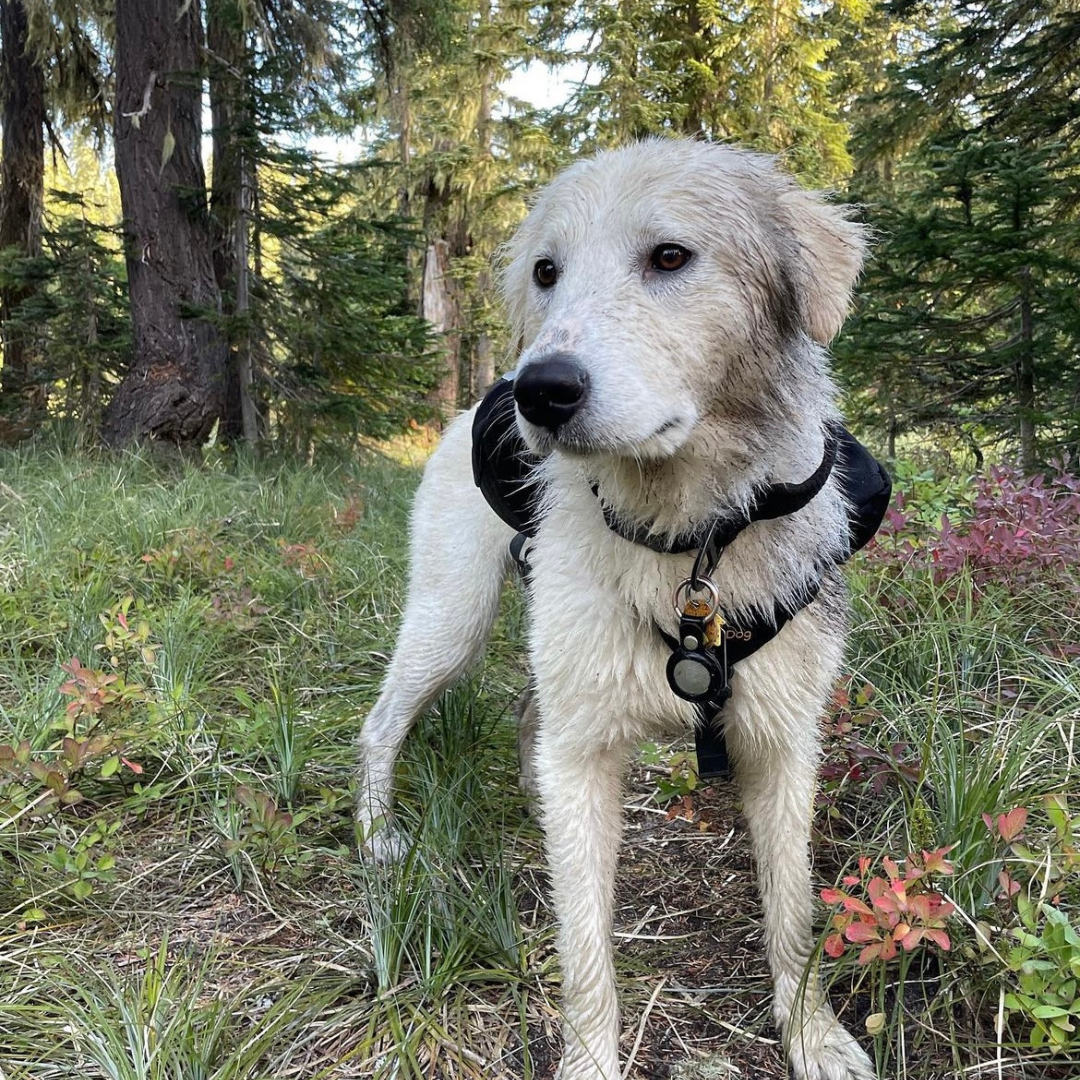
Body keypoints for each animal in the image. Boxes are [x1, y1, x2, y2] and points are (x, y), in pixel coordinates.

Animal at [358, 141, 881, 1080]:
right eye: (546, 271)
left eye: (670, 256)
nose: (541, 391)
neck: (688, 546)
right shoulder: (586, 751)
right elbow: (585, 949)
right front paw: (591, 1056)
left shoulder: (782, 745)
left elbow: (794, 912)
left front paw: (813, 1034)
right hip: (453, 622)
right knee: (382, 724)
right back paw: (377, 834)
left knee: (525, 721)